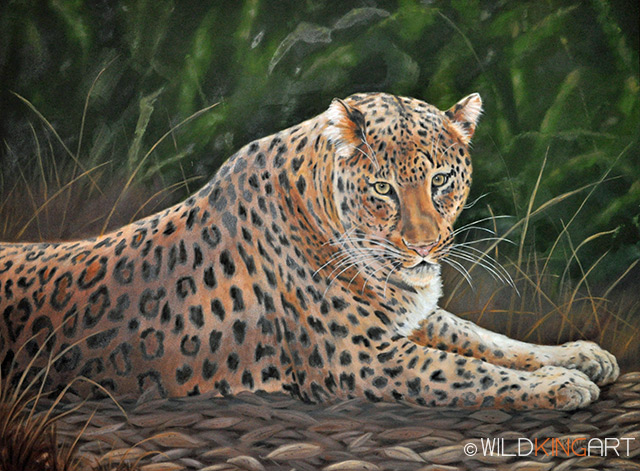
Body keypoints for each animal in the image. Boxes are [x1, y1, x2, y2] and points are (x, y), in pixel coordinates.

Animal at [0, 92, 619, 410]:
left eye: (442, 179)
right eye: (383, 189)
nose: (423, 247)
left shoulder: (412, 317)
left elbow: (489, 339)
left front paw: (581, 355)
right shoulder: (361, 359)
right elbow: (468, 372)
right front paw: (561, 385)